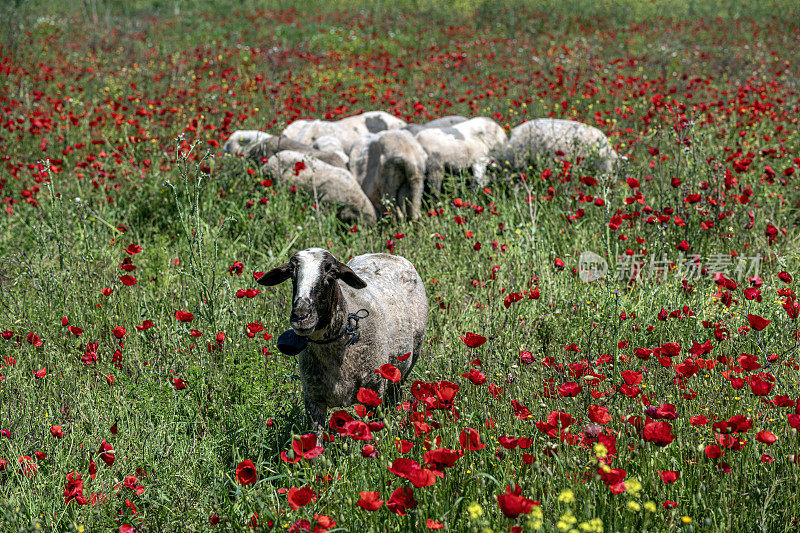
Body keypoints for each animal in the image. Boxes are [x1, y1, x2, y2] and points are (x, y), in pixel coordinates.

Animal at [260, 245, 428, 436]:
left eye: (331, 271)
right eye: (291, 273)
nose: (301, 316)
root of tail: (385, 254)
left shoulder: (374, 391)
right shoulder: (313, 399)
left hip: (404, 366)